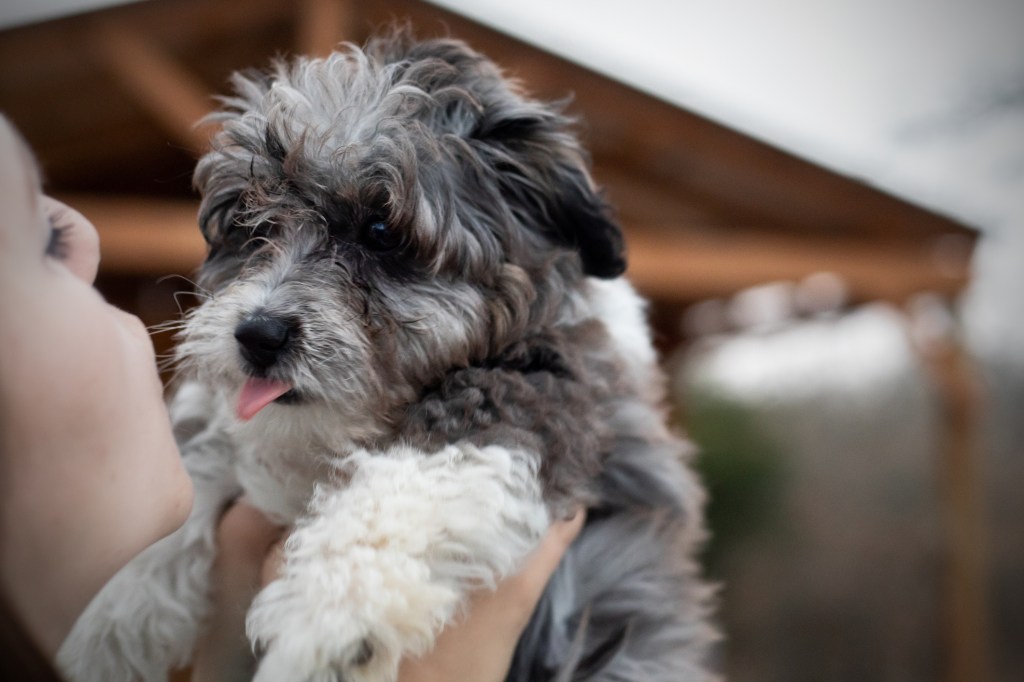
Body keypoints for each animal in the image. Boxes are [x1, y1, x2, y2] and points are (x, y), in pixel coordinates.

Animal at [56, 31, 712, 679]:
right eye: (248, 221)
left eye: (380, 232)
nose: (257, 335)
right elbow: (197, 446)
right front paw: (117, 613)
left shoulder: (546, 390)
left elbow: (423, 471)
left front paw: (330, 609)